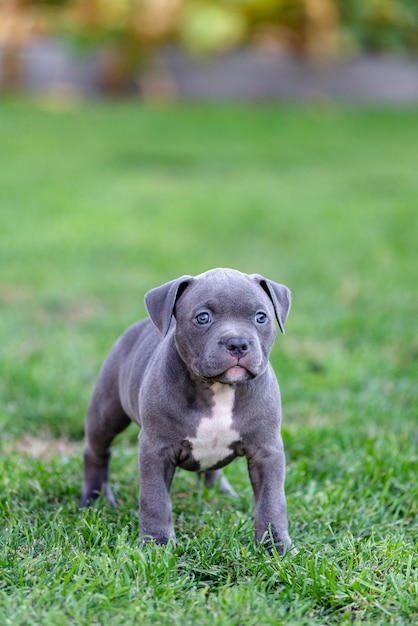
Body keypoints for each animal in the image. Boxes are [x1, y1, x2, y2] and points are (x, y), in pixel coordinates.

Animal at [81, 266, 290, 552]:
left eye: (261, 317)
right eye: (202, 318)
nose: (237, 343)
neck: (219, 388)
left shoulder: (266, 451)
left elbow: (272, 501)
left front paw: (275, 546)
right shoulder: (156, 449)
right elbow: (155, 500)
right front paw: (156, 543)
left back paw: (221, 493)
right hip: (107, 410)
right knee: (96, 450)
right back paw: (94, 498)